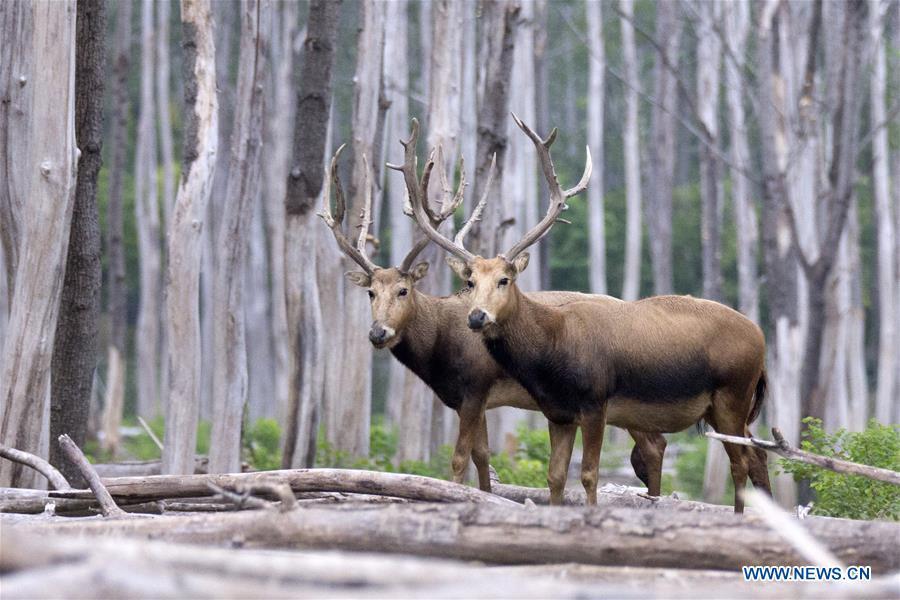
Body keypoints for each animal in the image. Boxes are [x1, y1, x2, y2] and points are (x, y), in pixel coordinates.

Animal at [318, 138, 668, 500]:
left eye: (403, 290)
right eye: (370, 293)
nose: (378, 333)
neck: (438, 352)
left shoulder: (475, 385)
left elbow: (460, 458)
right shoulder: (473, 398)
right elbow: (482, 455)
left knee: (654, 444)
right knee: (654, 444)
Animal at [412, 113, 768, 510]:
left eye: (505, 279)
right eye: (470, 281)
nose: (477, 317)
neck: (550, 353)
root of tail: (761, 339)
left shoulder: (596, 402)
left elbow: (588, 474)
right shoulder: (558, 412)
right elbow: (555, 476)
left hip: (733, 395)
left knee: (741, 464)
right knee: (754, 456)